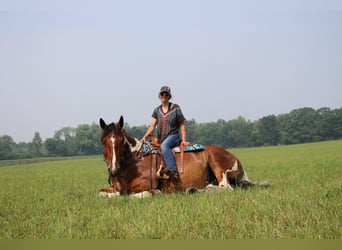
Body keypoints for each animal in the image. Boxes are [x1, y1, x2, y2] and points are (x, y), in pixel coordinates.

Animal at [99, 115, 264, 197]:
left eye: (121, 141)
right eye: (104, 141)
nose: (113, 170)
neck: (134, 161)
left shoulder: (147, 184)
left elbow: (131, 193)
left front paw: (155, 193)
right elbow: (102, 193)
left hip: (217, 163)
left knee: (225, 187)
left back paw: (196, 190)